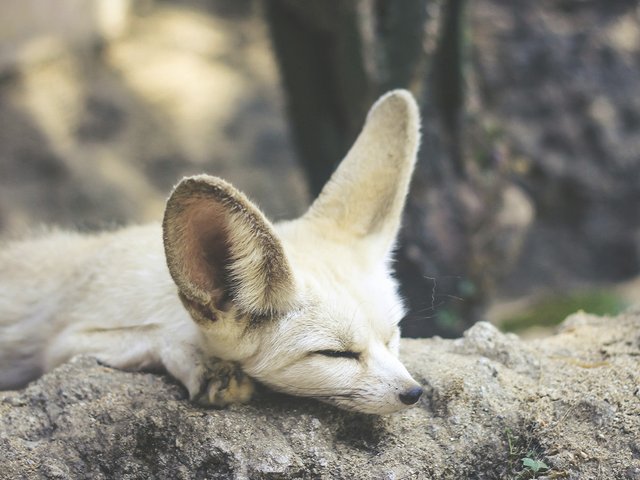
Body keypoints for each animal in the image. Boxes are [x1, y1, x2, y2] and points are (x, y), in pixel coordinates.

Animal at [1, 92, 424, 414]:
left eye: (393, 336)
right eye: (335, 354)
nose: (414, 393)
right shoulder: (63, 342)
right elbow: (151, 333)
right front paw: (203, 366)